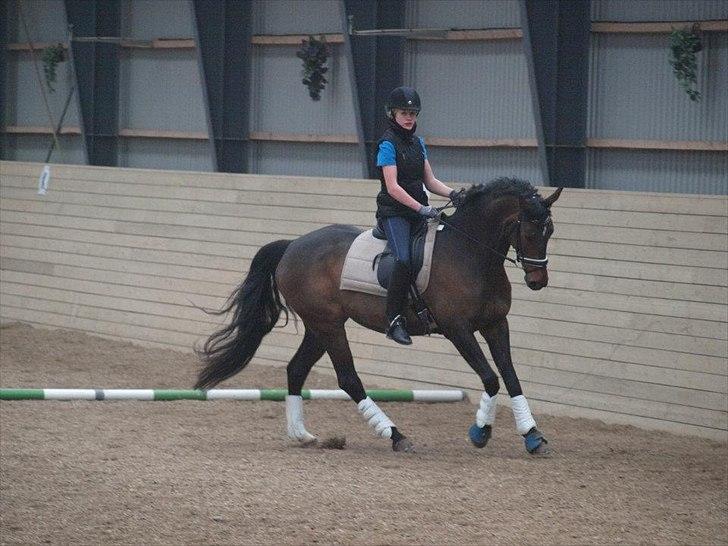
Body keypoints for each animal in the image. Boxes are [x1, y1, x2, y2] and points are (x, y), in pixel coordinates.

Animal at [195, 176, 564, 452]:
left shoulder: (495, 324)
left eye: (550, 231)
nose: (538, 281)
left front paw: (532, 435)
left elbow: (511, 376)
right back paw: (395, 435)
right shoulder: (457, 329)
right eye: (530, 231)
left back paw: (301, 435)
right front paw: (480, 433)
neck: (471, 254)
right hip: (328, 326)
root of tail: (292, 245)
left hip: (319, 326)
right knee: (348, 379)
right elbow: (490, 377)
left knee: (296, 369)